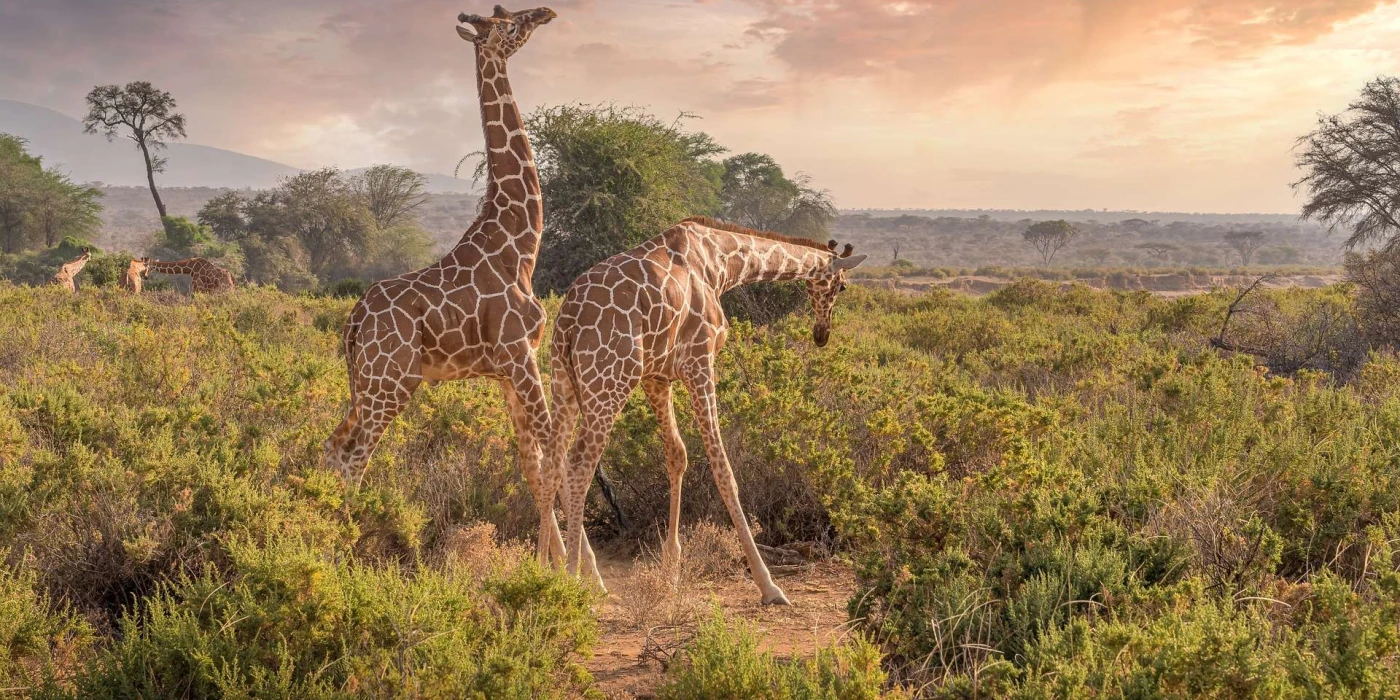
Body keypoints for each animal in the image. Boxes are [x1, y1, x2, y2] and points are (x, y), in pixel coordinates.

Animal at [322, 4, 568, 562]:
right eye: (509, 23)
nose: (545, 12)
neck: (519, 245)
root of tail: (352, 324)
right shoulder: (521, 356)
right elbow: (553, 449)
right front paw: (575, 570)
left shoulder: (506, 371)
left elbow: (531, 463)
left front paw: (554, 563)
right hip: (392, 383)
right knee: (354, 454)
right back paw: (343, 551)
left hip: (367, 383)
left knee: (333, 444)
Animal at [543, 215, 862, 604]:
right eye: (842, 286)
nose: (821, 334)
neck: (720, 262)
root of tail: (568, 320)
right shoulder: (700, 360)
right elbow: (722, 467)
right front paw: (768, 584)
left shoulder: (657, 376)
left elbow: (677, 455)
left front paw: (671, 569)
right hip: (610, 379)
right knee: (578, 465)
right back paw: (575, 581)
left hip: (564, 381)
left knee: (551, 463)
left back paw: (540, 570)